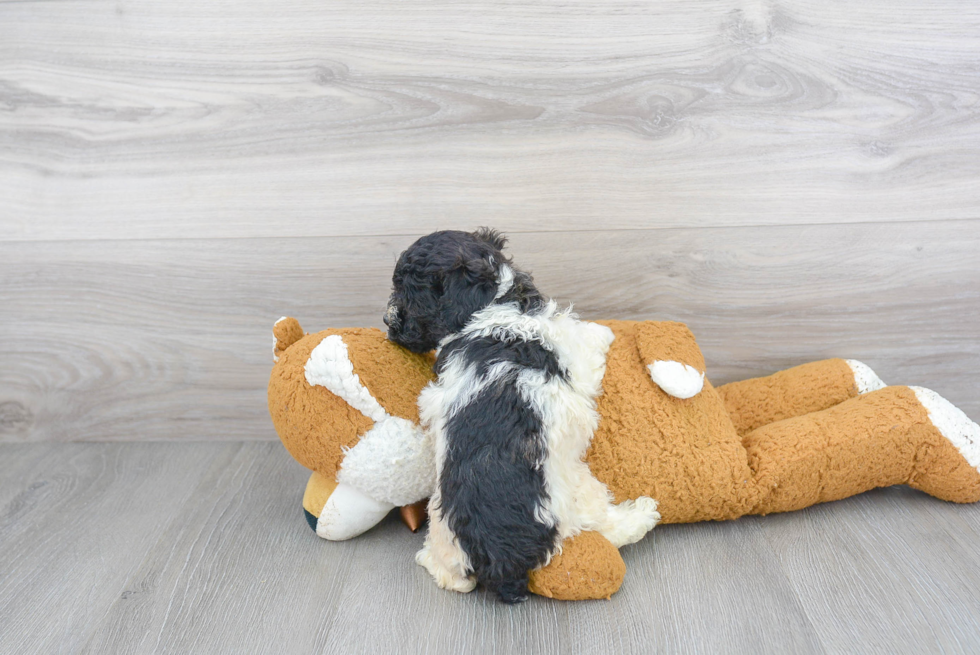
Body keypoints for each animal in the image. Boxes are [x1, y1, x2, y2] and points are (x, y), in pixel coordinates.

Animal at [384, 229, 660, 604]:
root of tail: (496, 555)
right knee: (604, 523)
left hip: (446, 541)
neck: (495, 305)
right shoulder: (574, 350)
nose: (388, 321)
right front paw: (604, 332)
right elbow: (590, 340)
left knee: (449, 574)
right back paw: (642, 514)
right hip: (573, 490)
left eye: (410, 294)